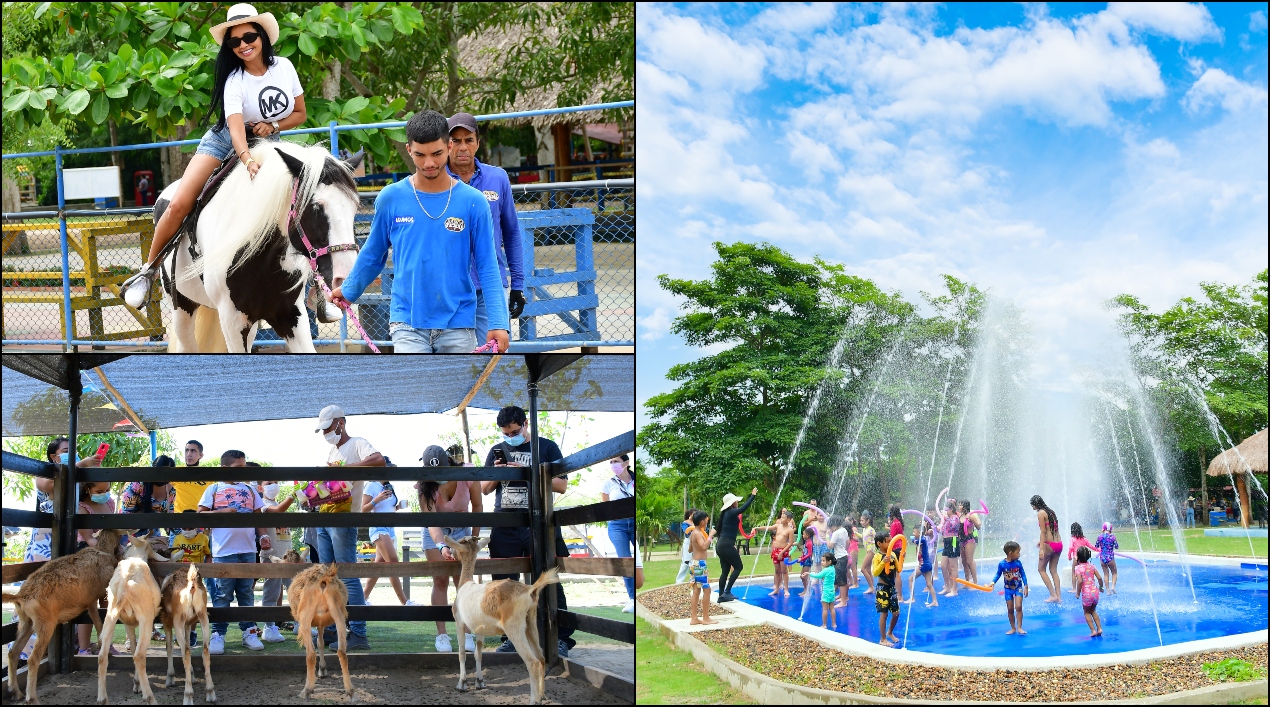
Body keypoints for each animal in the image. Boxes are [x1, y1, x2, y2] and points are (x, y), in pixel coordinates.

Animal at [3, 525, 126, 700]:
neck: (102, 550)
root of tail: (21, 596)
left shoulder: (90, 602)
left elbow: (98, 623)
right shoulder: (99, 594)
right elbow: (100, 623)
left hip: (26, 622)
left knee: (13, 653)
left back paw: (17, 692)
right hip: (45, 624)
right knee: (32, 659)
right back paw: (31, 698)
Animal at [157, 142, 363, 350]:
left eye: (354, 207)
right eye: (315, 207)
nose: (345, 279)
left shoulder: (291, 315)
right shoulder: (232, 321)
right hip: (181, 308)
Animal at [284, 563, 353, 700]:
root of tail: (323, 578)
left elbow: (317, 646)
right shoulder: (321, 624)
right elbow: (321, 643)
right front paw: (323, 669)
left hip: (306, 616)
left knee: (310, 654)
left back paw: (306, 690)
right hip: (339, 614)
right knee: (342, 652)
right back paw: (351, 692)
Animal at [449, 535, 563, 700]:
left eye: (459, 543)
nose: (450, 553)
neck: (466, 584)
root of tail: (530, 590)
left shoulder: (459, 623)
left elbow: (462, 653)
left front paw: (461, 684)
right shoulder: (481, 630)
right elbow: (478, 654)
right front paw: (479, 682)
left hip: (514, 629)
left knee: (532, 662)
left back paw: (534, 700)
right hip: (530, 625)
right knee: (541, 658)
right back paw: (542, 695)